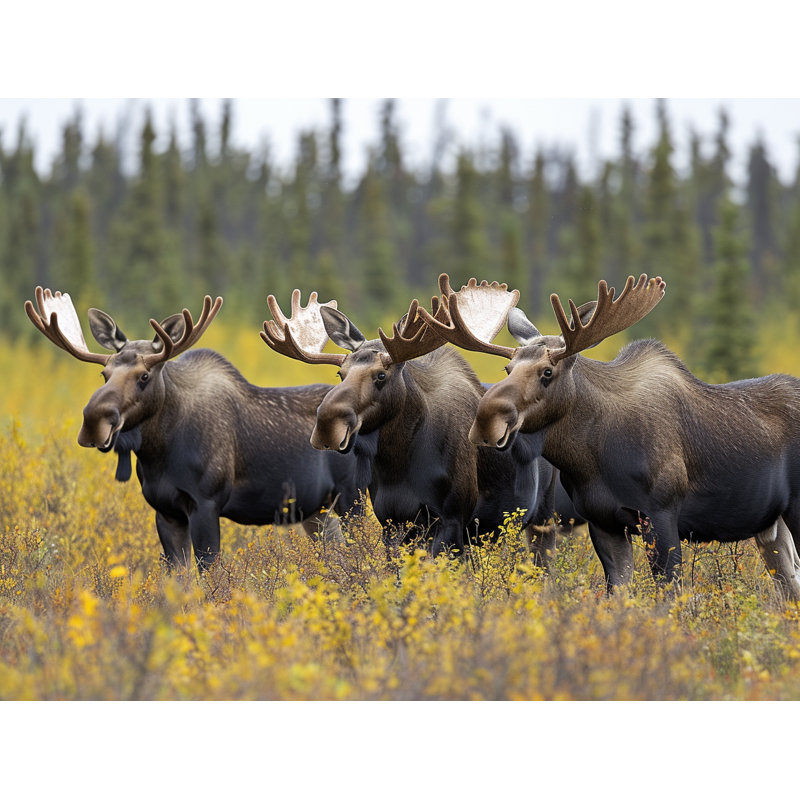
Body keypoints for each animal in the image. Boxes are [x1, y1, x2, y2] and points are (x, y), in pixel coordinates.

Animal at [25, 287, 366, 571]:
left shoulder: (206, 504)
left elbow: (210, 575)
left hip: (352, 498)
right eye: (103, 373)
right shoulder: (165, 511)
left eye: (145, 375)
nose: (95, 420)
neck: (158, 452)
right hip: (318, 511)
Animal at [261, 281, 559, 558]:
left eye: (381, 375)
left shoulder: (451, 518)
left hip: (540, 515)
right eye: (340, 374)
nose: (326, 426)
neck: (398, 463)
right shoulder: (391, 521)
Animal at [418, 273, 800, 599]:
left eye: (547, 372)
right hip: (772, 527)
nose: (486, 421)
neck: (590, 456)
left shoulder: (661, 514)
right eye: (507, 368)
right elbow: (618, 595)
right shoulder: (603, 522)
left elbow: (670, 596)